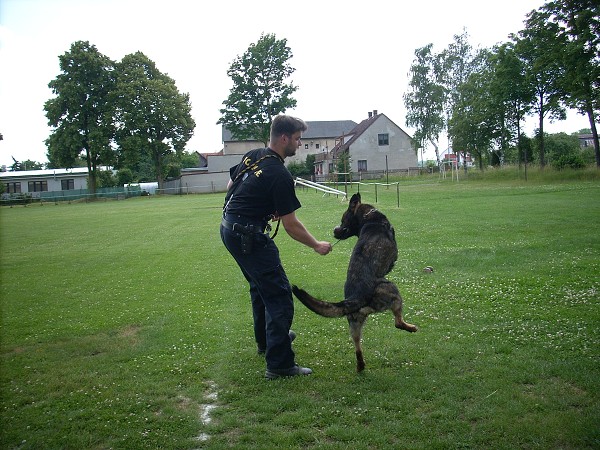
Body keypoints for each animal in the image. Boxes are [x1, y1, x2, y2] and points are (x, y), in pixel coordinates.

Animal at [292, 192, 418, 370]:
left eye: (342, 220)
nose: (334, 231)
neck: (367, 218)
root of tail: (355, 298)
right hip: (392, 290)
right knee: (398, 323)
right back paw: (411, 327)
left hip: (354, 324)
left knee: (357, 345)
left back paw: (360, 365)